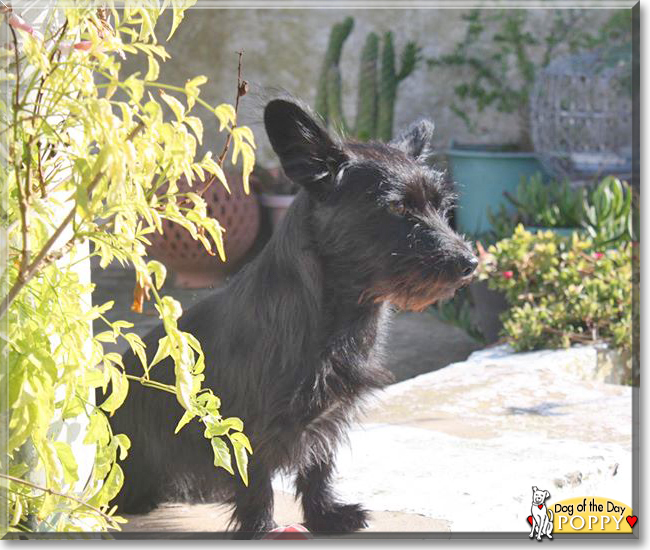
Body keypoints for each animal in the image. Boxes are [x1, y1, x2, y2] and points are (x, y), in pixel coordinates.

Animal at [110, 100, 476, 540]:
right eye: (396, 207)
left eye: (442, 207)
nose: (470, 262)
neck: (336, 318)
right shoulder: (244, 424)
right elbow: (255, 482)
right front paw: (260, 528)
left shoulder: (325, 419)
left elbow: (317, 467)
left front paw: (324, 516)